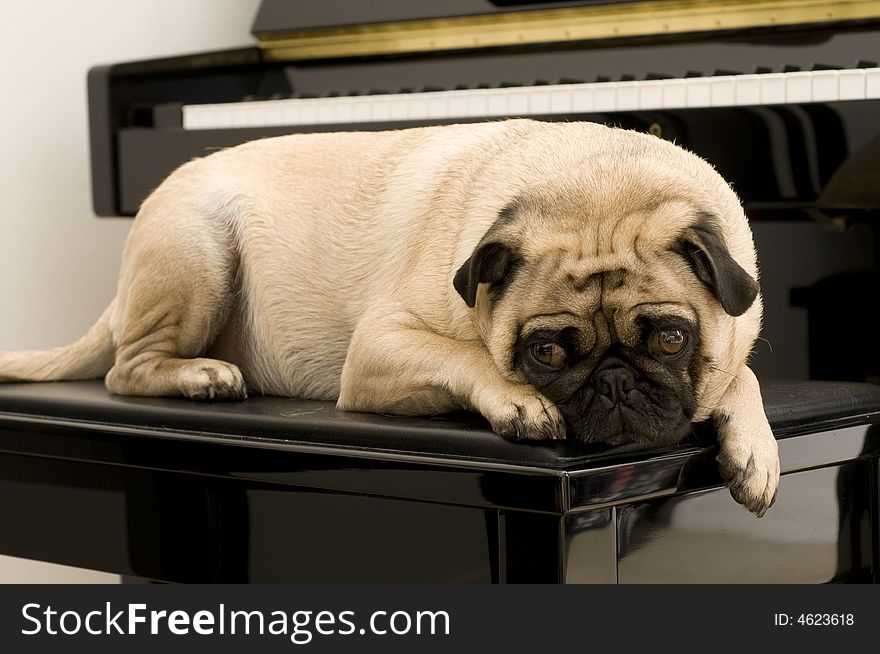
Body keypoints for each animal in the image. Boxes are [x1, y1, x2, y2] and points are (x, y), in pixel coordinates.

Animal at [0, 120, 776, 516]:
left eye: (672, 339)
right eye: (546, 352)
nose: (613, 381)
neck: (597, 181)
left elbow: (744, 377)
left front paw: (755, 447)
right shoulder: (377, 349)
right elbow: (470, 356)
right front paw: (518, 401)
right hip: (195, 248)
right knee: (127, 370)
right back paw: (201, 377)